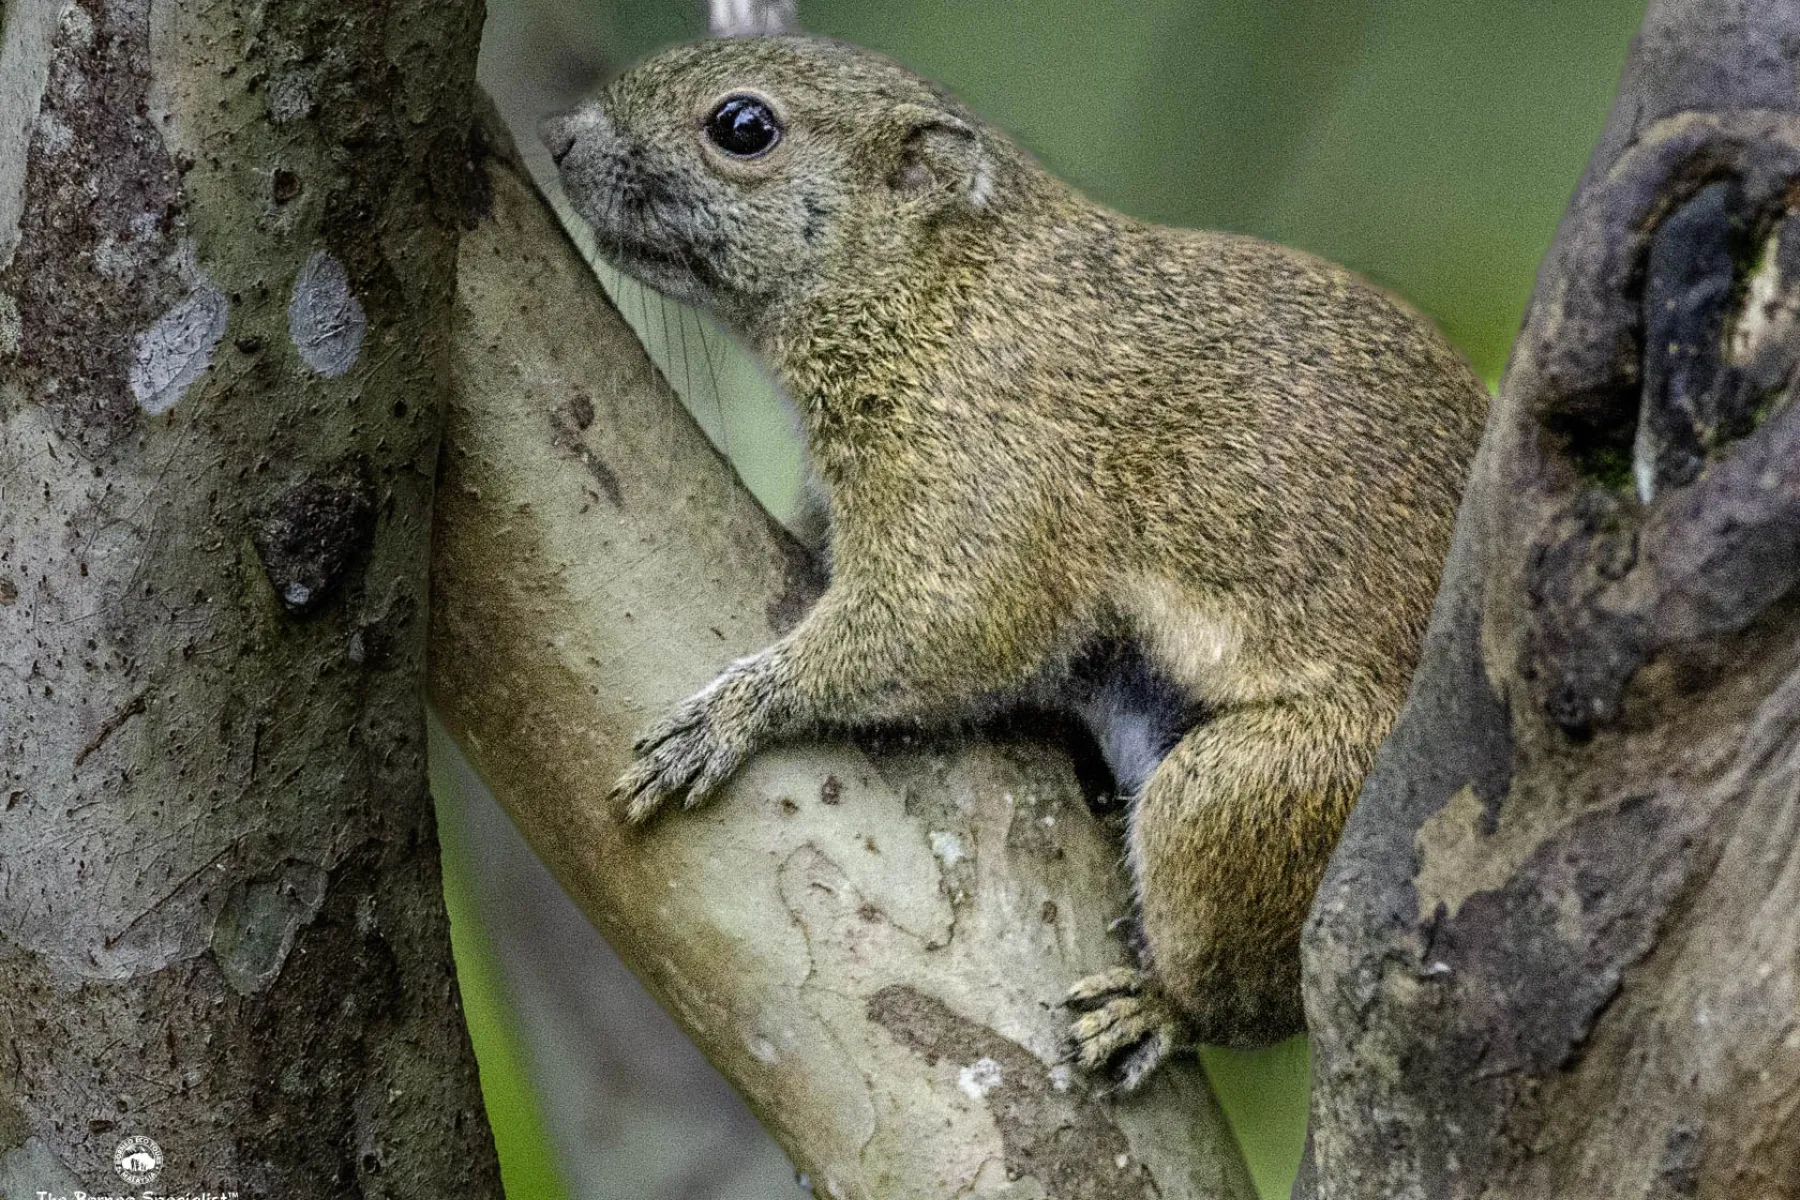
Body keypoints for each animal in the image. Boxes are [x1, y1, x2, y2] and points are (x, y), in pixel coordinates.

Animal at [542, 35, 1487, 1090]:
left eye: (743, 127)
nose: (560, 136)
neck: (944, 290)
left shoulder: (995, 469)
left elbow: (951, 623)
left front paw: (729, 714)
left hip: (1248, 801)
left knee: (1248, 996)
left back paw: (1156, 1007)